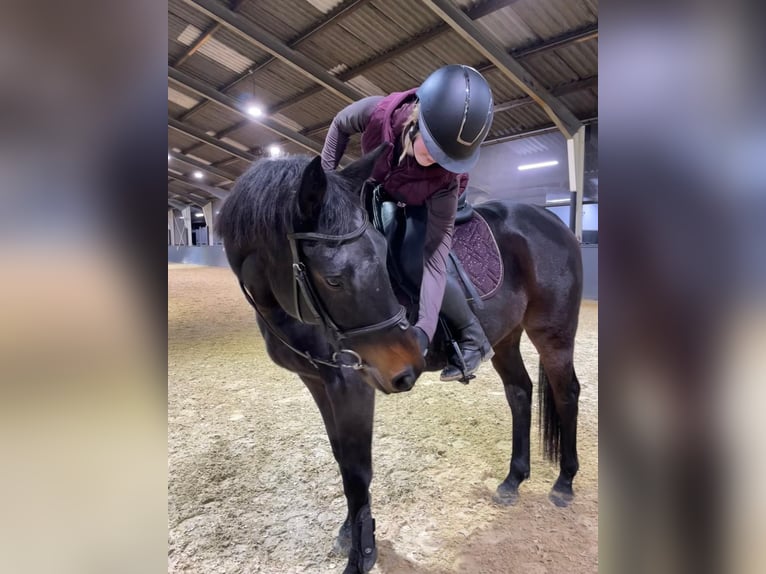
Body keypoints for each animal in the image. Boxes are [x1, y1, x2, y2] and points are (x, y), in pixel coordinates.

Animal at [217, 144, 583, 574]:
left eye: (381, 254)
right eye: (334, 279)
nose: (406, 369)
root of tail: (552, 220)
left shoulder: (352, 384)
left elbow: (358, 471)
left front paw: (362, 554)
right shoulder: (318, 381)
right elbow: (342, 458)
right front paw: (350, 532)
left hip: (553, 334)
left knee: (566, 394)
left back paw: (564, 483)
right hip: (506, 337)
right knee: (519, 392)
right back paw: (514, 479)